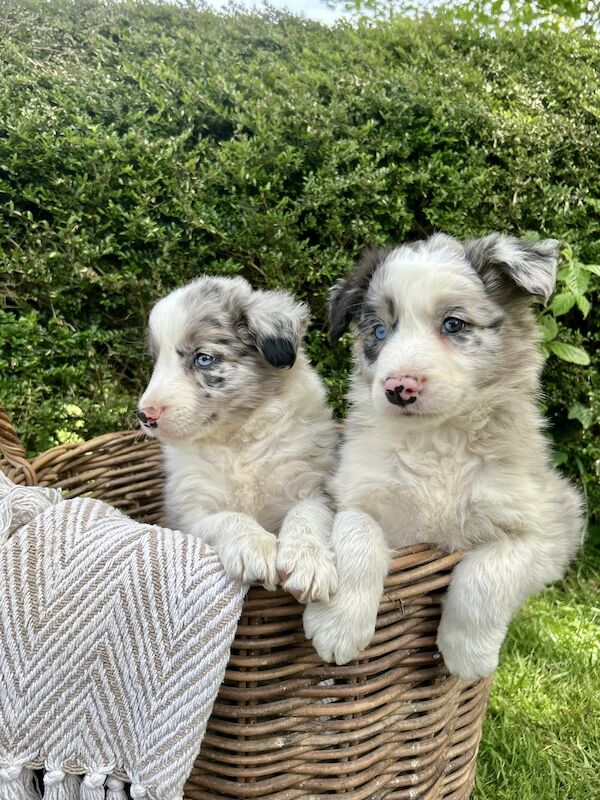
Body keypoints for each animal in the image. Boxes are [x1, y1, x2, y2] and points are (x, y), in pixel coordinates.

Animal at [138, 276, 340, 600]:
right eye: (156, 361)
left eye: (203, 358)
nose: (145, 415)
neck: (237, 440)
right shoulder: (189, 512)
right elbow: (228, 518)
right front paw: (254, 547)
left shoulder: (311, 484)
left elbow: (306, 515)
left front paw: (308, 562)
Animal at [302, 234, 584, 680]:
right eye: (379, 330)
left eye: (454, 324)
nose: (398, 388)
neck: (436, 441)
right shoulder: (352, 492)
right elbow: (357, 534)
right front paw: (337, 627)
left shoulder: (552, 525)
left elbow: (489, 569)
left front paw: (468, 656)